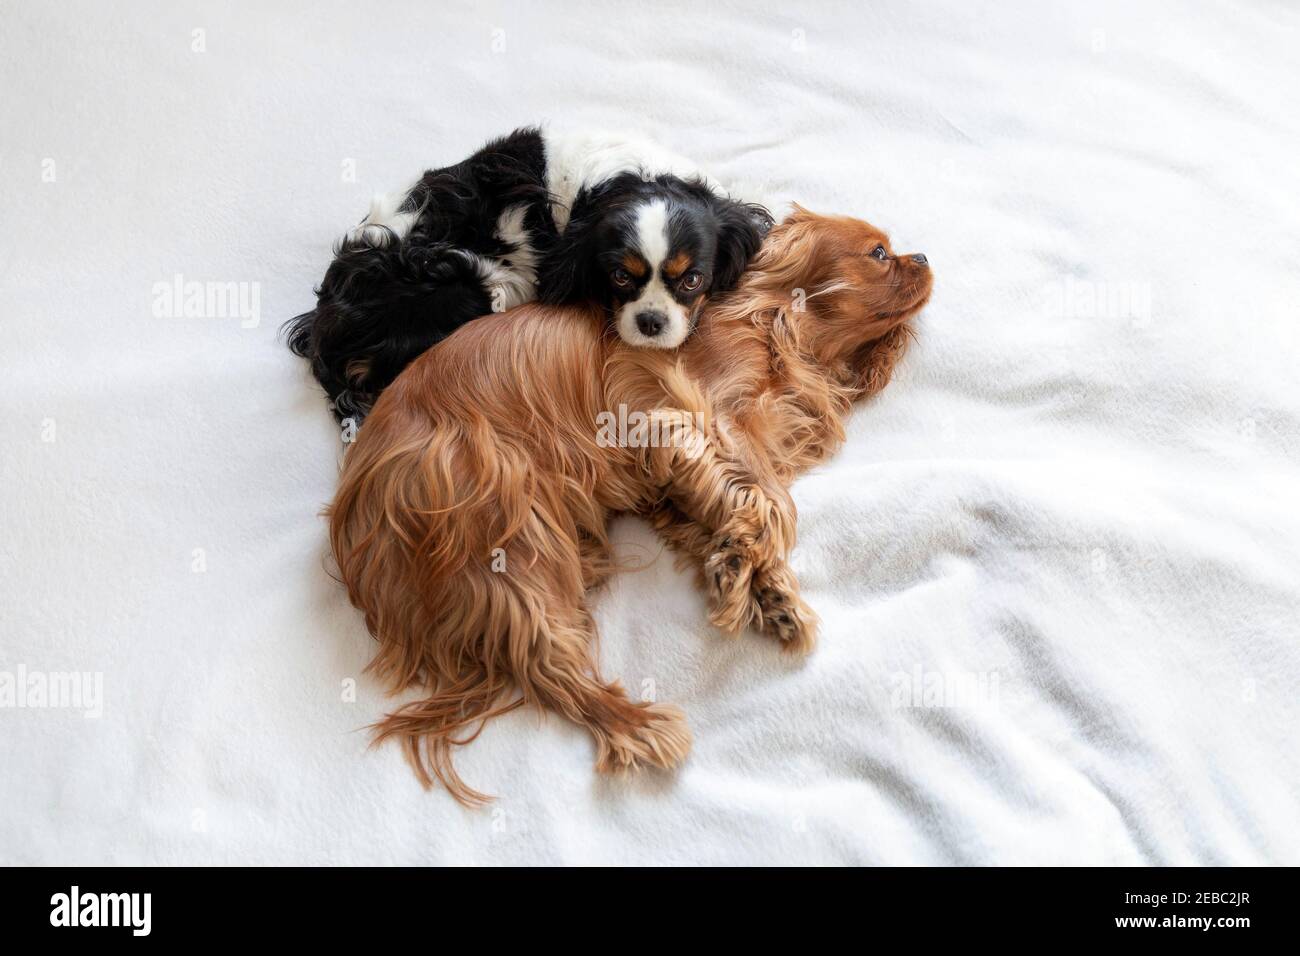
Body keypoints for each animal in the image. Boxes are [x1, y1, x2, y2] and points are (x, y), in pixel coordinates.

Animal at [287, 128, 769, 421]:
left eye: (692, 281)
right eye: (619, 278)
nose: (652, 322)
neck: (627, 181)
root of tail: (327, 328)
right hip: (472, 287)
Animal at [330, 205, 930, 806]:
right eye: (879, 253)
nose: (925, 256)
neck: (776, 323)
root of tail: (355, 509)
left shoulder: (670, 485)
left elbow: (733, 511)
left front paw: (764, 589)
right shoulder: (685, 415)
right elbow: (775, 503)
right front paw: (744, 572)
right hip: (509, 537)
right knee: (547, 663)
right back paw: (639, 727)